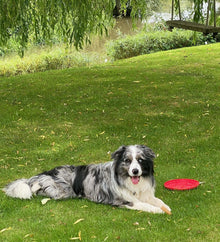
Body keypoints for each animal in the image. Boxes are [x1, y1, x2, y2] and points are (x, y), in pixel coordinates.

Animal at [3, 144, 172, 214]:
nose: (135, 171)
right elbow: (144, 205)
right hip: (61, 191)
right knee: (36, 187)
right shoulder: (124, 201)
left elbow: (157, 201)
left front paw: (165, 207)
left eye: (140, 160)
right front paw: (158, 210)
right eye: (127, 161)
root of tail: (46, 173)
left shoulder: (146, 194)